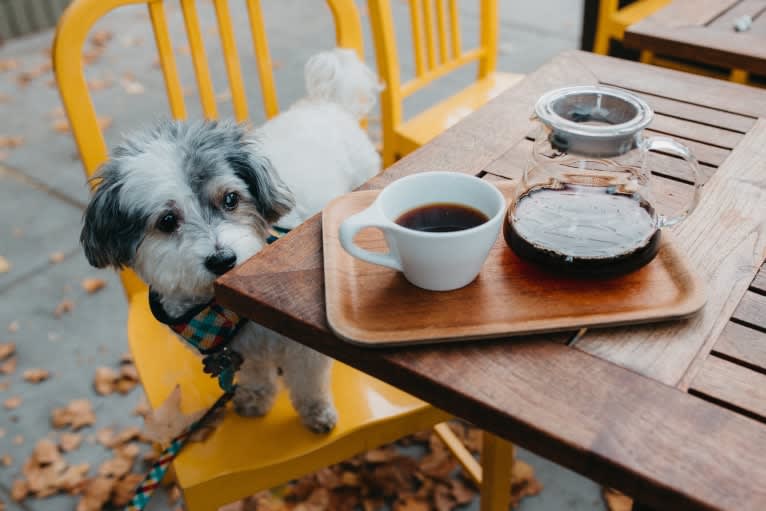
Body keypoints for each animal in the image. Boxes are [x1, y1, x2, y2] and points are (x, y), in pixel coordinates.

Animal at [80, 48, 384, 434]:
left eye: (230, 199)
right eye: (167, 221)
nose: (222, 259)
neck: (219, 310)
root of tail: (324, 101)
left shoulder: (303, 350)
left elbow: (307, 382)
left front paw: (316, 412)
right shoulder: (239, 354)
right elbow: (254, 374)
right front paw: (256, 397)